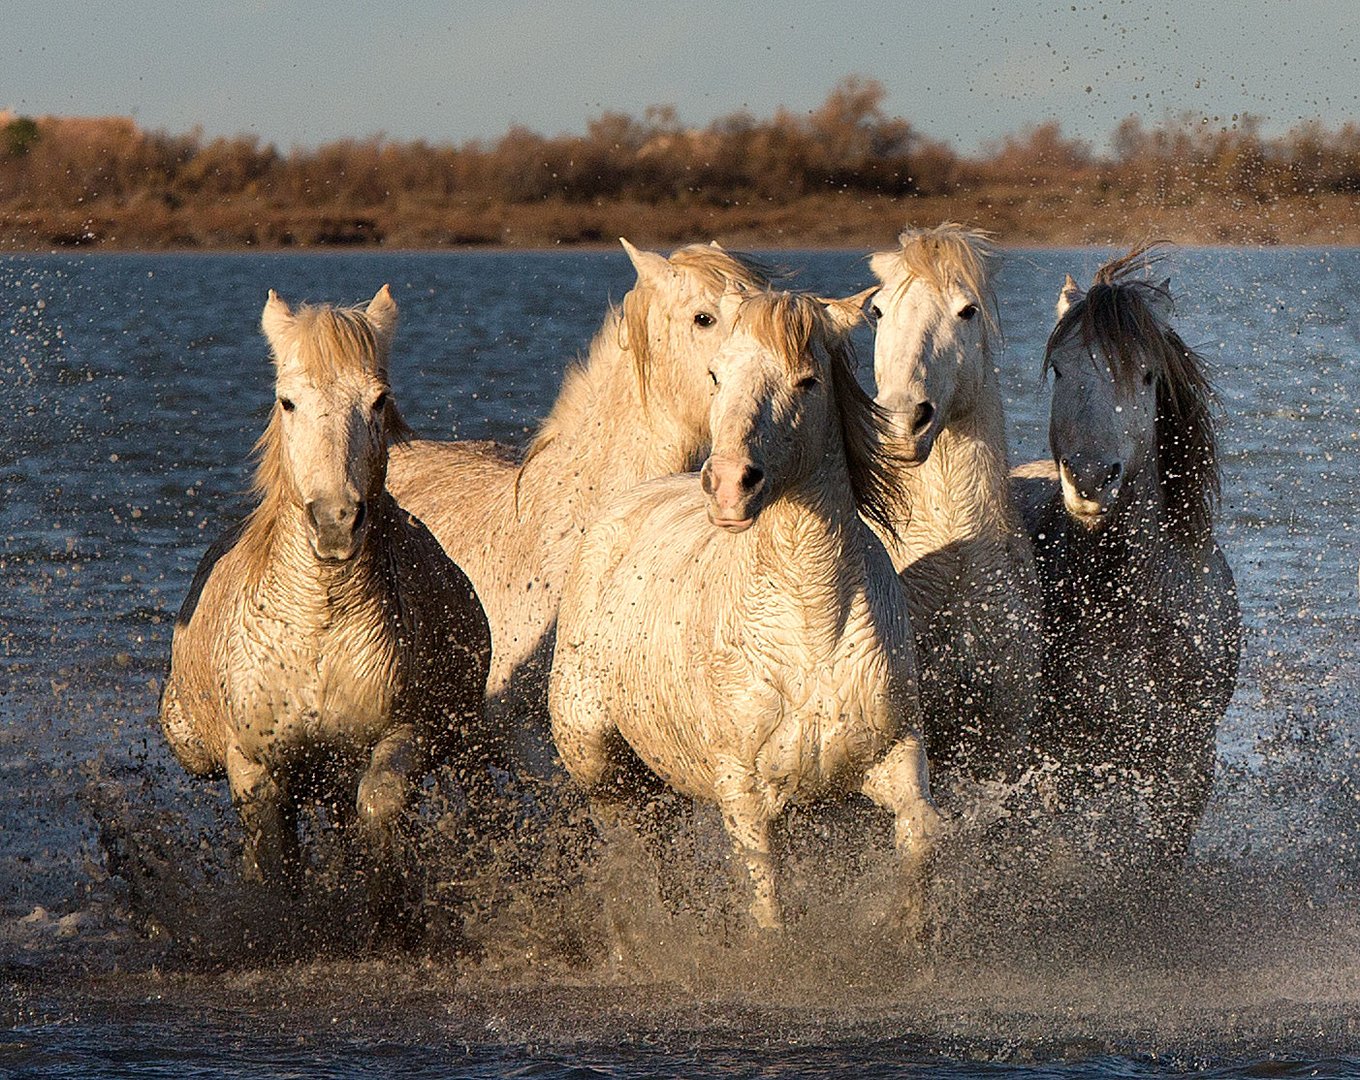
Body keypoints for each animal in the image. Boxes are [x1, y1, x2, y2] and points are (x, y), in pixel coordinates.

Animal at [158, 285, 492, 924]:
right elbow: (274, 860)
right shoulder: (254, 768)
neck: (318, 622)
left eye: (379, 401)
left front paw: (390, 916)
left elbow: (379, 806)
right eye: (288, 402)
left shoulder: (401, 735)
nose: (336, 520)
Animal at [546, 285, 941, 924]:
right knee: (636, 859)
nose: (731, 485)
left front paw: (901, 930)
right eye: (716, 374)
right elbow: (768, 905)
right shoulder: (745, 796)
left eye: (807, 380)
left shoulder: (893, 757)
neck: (810, 624)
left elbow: (922, 838)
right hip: (602, 769)